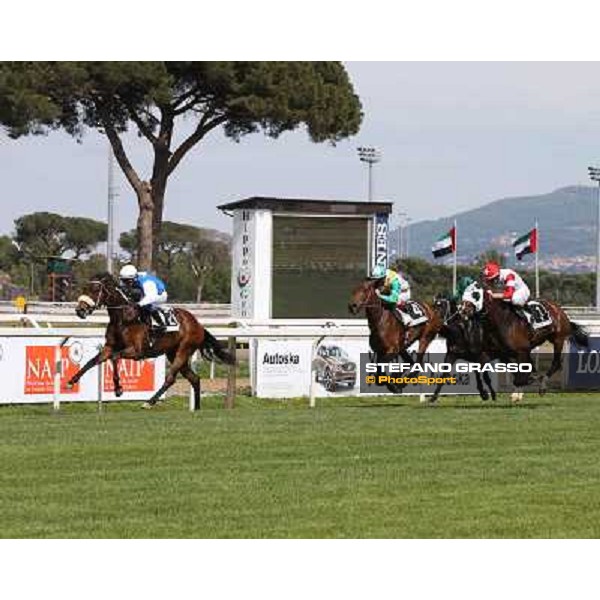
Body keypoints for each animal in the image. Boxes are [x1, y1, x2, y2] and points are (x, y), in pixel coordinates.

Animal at [66, 274, 234, 410]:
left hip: (184, 350)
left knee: (170, 379)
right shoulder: (109, 347)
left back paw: (149, 402)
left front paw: (118, 389)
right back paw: (197, 409)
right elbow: (92, 361)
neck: (124, 318)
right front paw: (72, 380)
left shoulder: (136, 352)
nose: (80, 311)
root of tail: (198, 324)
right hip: (173, 353)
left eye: (95, 289)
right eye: (84, 288)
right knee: (194, 378)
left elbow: (114, 357)